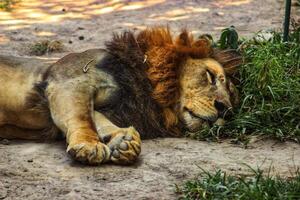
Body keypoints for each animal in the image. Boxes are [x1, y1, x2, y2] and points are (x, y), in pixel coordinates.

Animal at [0, 27, 241, 165]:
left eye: (231, 97)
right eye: (210, 76)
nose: (225, 110)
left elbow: (98, 119)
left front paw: (124, 142)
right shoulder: (68, 82)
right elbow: (81, 117)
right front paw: (89, 145)